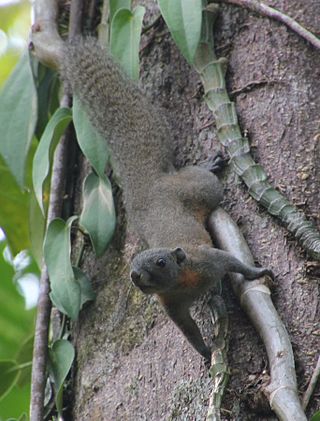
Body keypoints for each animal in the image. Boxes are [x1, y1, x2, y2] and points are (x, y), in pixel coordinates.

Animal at [61, 37, 274, 360]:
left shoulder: (208, 259)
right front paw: (205, 353)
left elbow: (234, 263)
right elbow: (188, 331)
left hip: (200, 189)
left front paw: (257, 271)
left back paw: (210, 165)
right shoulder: (172, 307)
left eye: (161, 262)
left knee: (206, 184)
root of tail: (149, 188)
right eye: (133, 268)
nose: (136, 276)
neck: (182, 283)